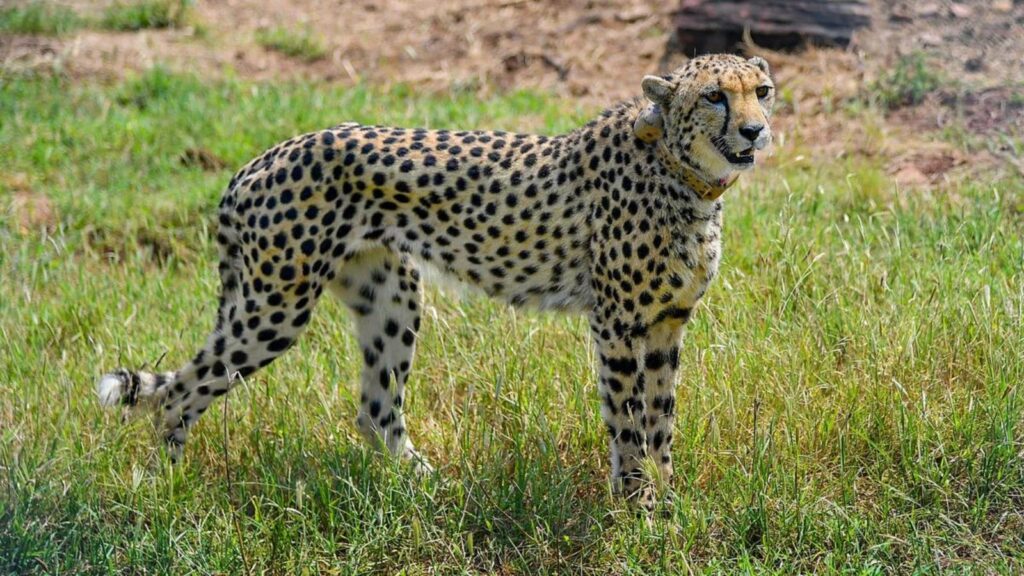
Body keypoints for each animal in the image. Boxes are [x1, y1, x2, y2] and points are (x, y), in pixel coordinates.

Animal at [96, 53, 775, 509]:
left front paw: (669, 501)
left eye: (762, 91)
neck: (684, 174)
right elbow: (629, 422)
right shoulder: (617, 325)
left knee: (375, 410)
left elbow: (662, 419)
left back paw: (429, 489)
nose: (755, 130)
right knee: (181, 392)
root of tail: (259, 160)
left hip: (390, 296)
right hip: (275, 307)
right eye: (715, 96)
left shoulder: (666, 324)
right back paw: (164, 489)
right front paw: (639, 507)